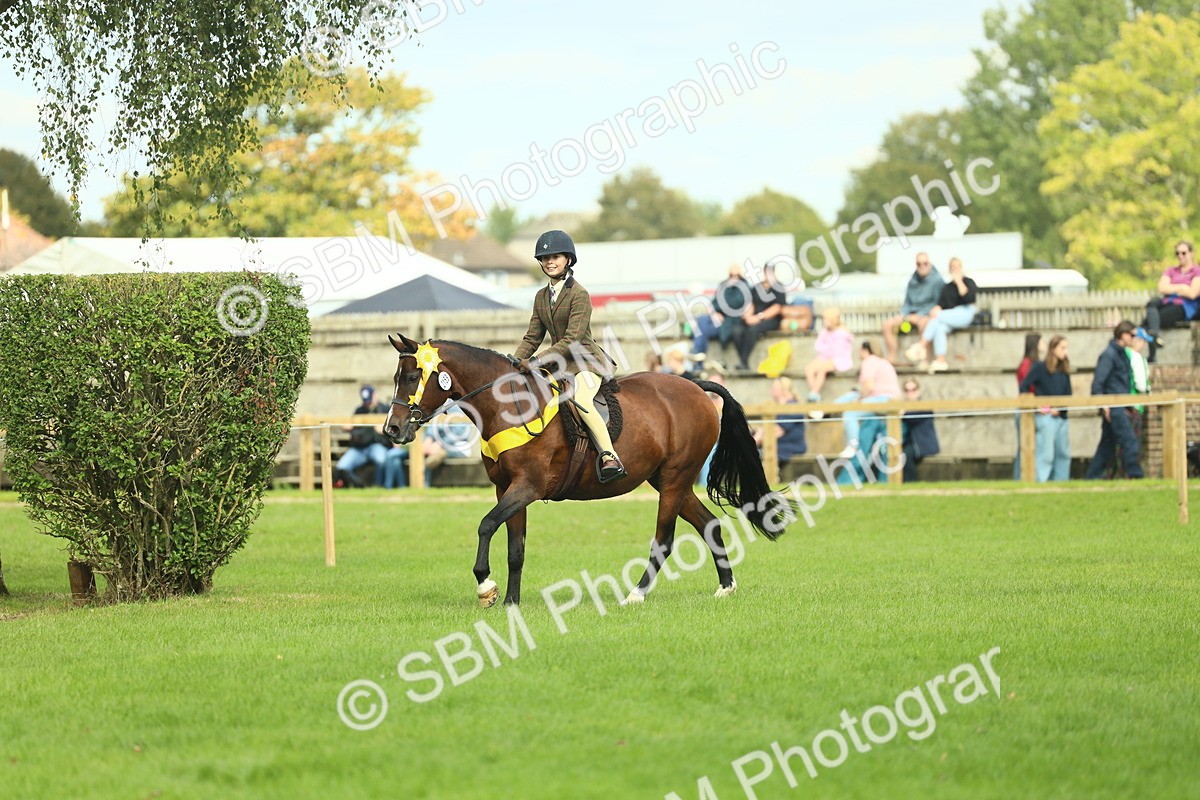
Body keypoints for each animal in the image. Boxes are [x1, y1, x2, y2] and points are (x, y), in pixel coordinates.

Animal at [383, 334, 797, 607]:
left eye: (413, 377)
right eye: (397, 377)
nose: (393, 429)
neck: (508, 404)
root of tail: (695, 387)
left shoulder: (527, 486)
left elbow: (486, 525)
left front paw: (486, 587)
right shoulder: (507, 489)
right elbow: (515, 547)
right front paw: (511, 603)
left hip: (675, 479)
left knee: (663, 540)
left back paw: (635, 595)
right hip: (669, 481)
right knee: (708, 523)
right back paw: (725, 587)